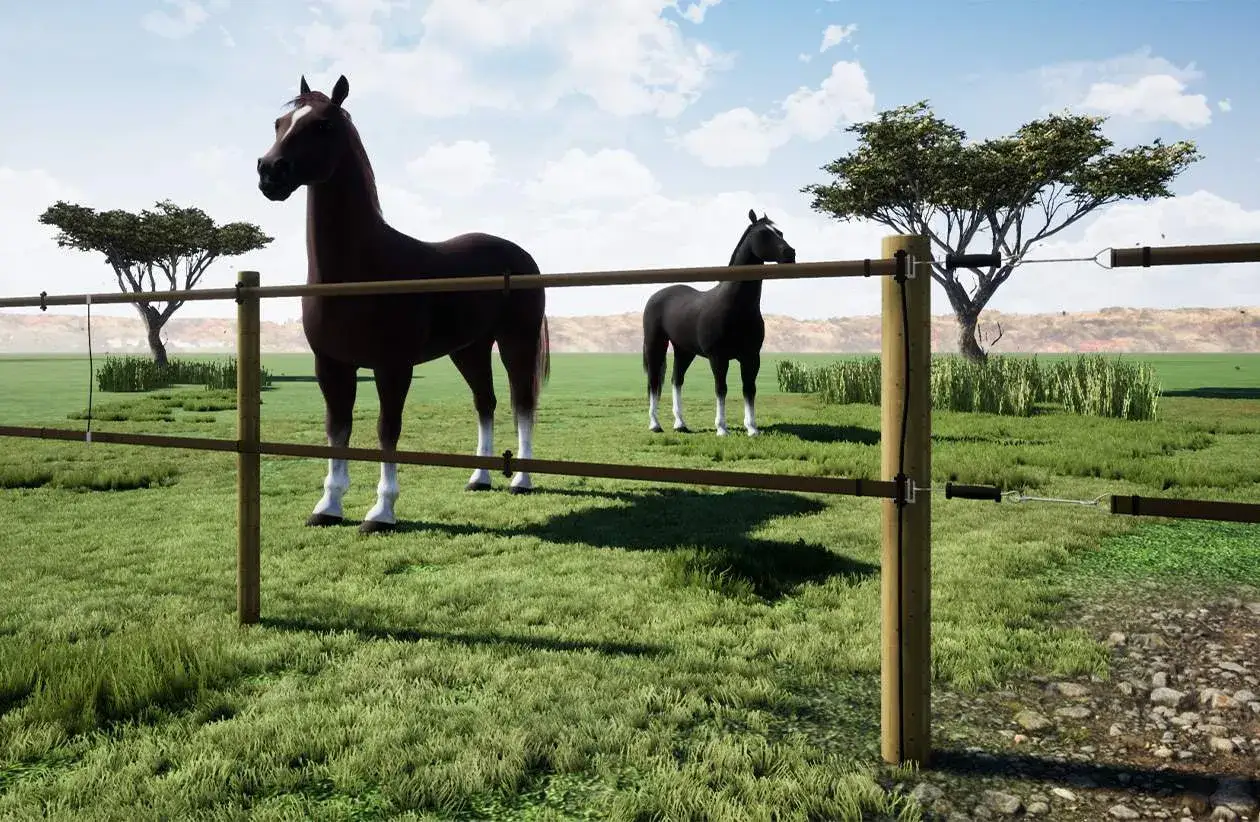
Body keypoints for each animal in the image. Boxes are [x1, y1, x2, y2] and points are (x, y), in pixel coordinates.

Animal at [255, 75, 550, 534]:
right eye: (279, 123)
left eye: (322, 126)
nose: (270, 171)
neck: (360, 271)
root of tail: (520, 255)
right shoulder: (331, 365)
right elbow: (337, 430)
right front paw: (328, 507)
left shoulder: (392, 366)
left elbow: (386, 430)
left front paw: (381, 512)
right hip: (470, 349)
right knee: (485, 403)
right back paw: (479, 478)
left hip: (515, 341)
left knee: (522, 402)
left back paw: (521, 480)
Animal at [641, 209, 795, 437]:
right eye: (763, 234)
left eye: (780, 232)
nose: (790, 253)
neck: (734, 306)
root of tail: (656, 296)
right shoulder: (718, 358)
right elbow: (721, 389)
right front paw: (722, 428)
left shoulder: (751, 357)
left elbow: (749, 389)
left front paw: (752, 428)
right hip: (655, 345)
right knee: (653, 382)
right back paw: (654, 424)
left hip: (684, 350)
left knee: (676, 380)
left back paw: (680, 423)